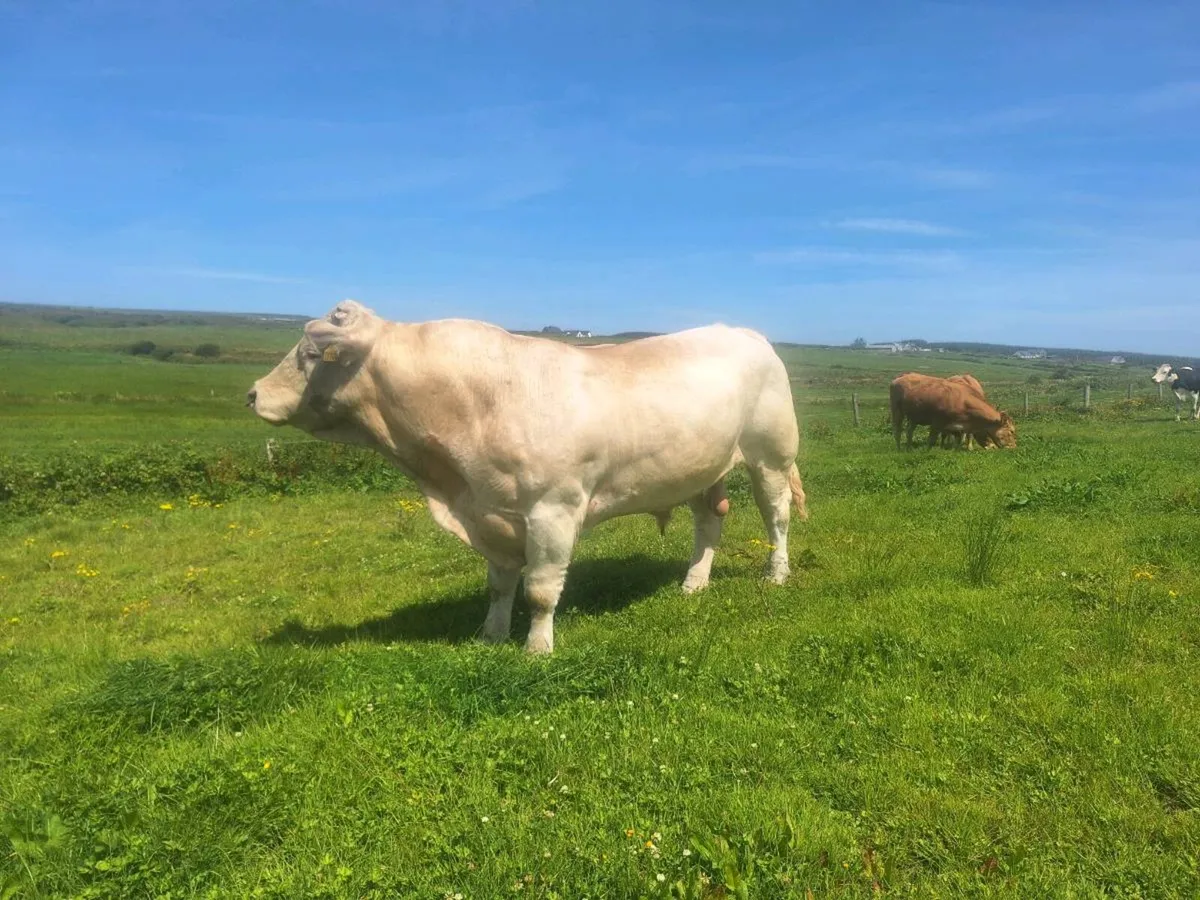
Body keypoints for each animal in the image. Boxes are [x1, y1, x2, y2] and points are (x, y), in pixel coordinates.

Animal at [247, 300, 809, 654]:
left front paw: (537, 646)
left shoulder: (553, 510)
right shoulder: (490, 513)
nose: (252, 394)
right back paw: (694, 583)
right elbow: (499, 586)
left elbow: (539, 589)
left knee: (776, 517)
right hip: (699, 467)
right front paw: (491, 635)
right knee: (709, 522)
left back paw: (776, 574)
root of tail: (743, 332)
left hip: (770, 455)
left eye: (312, 355)